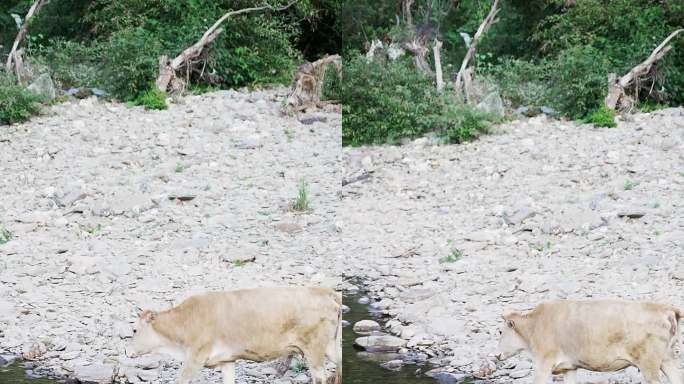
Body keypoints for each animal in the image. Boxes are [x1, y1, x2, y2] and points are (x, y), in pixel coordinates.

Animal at [125, 286, 342, 382]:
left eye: (134, 329)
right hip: (330, 345)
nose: (126, 351)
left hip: (314, 349)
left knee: (321, 377)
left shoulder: (195, 357)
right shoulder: (226, 359)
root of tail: (325, 291)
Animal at [496, 300, 684, 384]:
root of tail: (666, 308)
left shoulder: (543, 363)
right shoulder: (569, 367)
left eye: (500, 331)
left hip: (648, 363)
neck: (535, 325)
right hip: (667, 358)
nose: (496, 355)